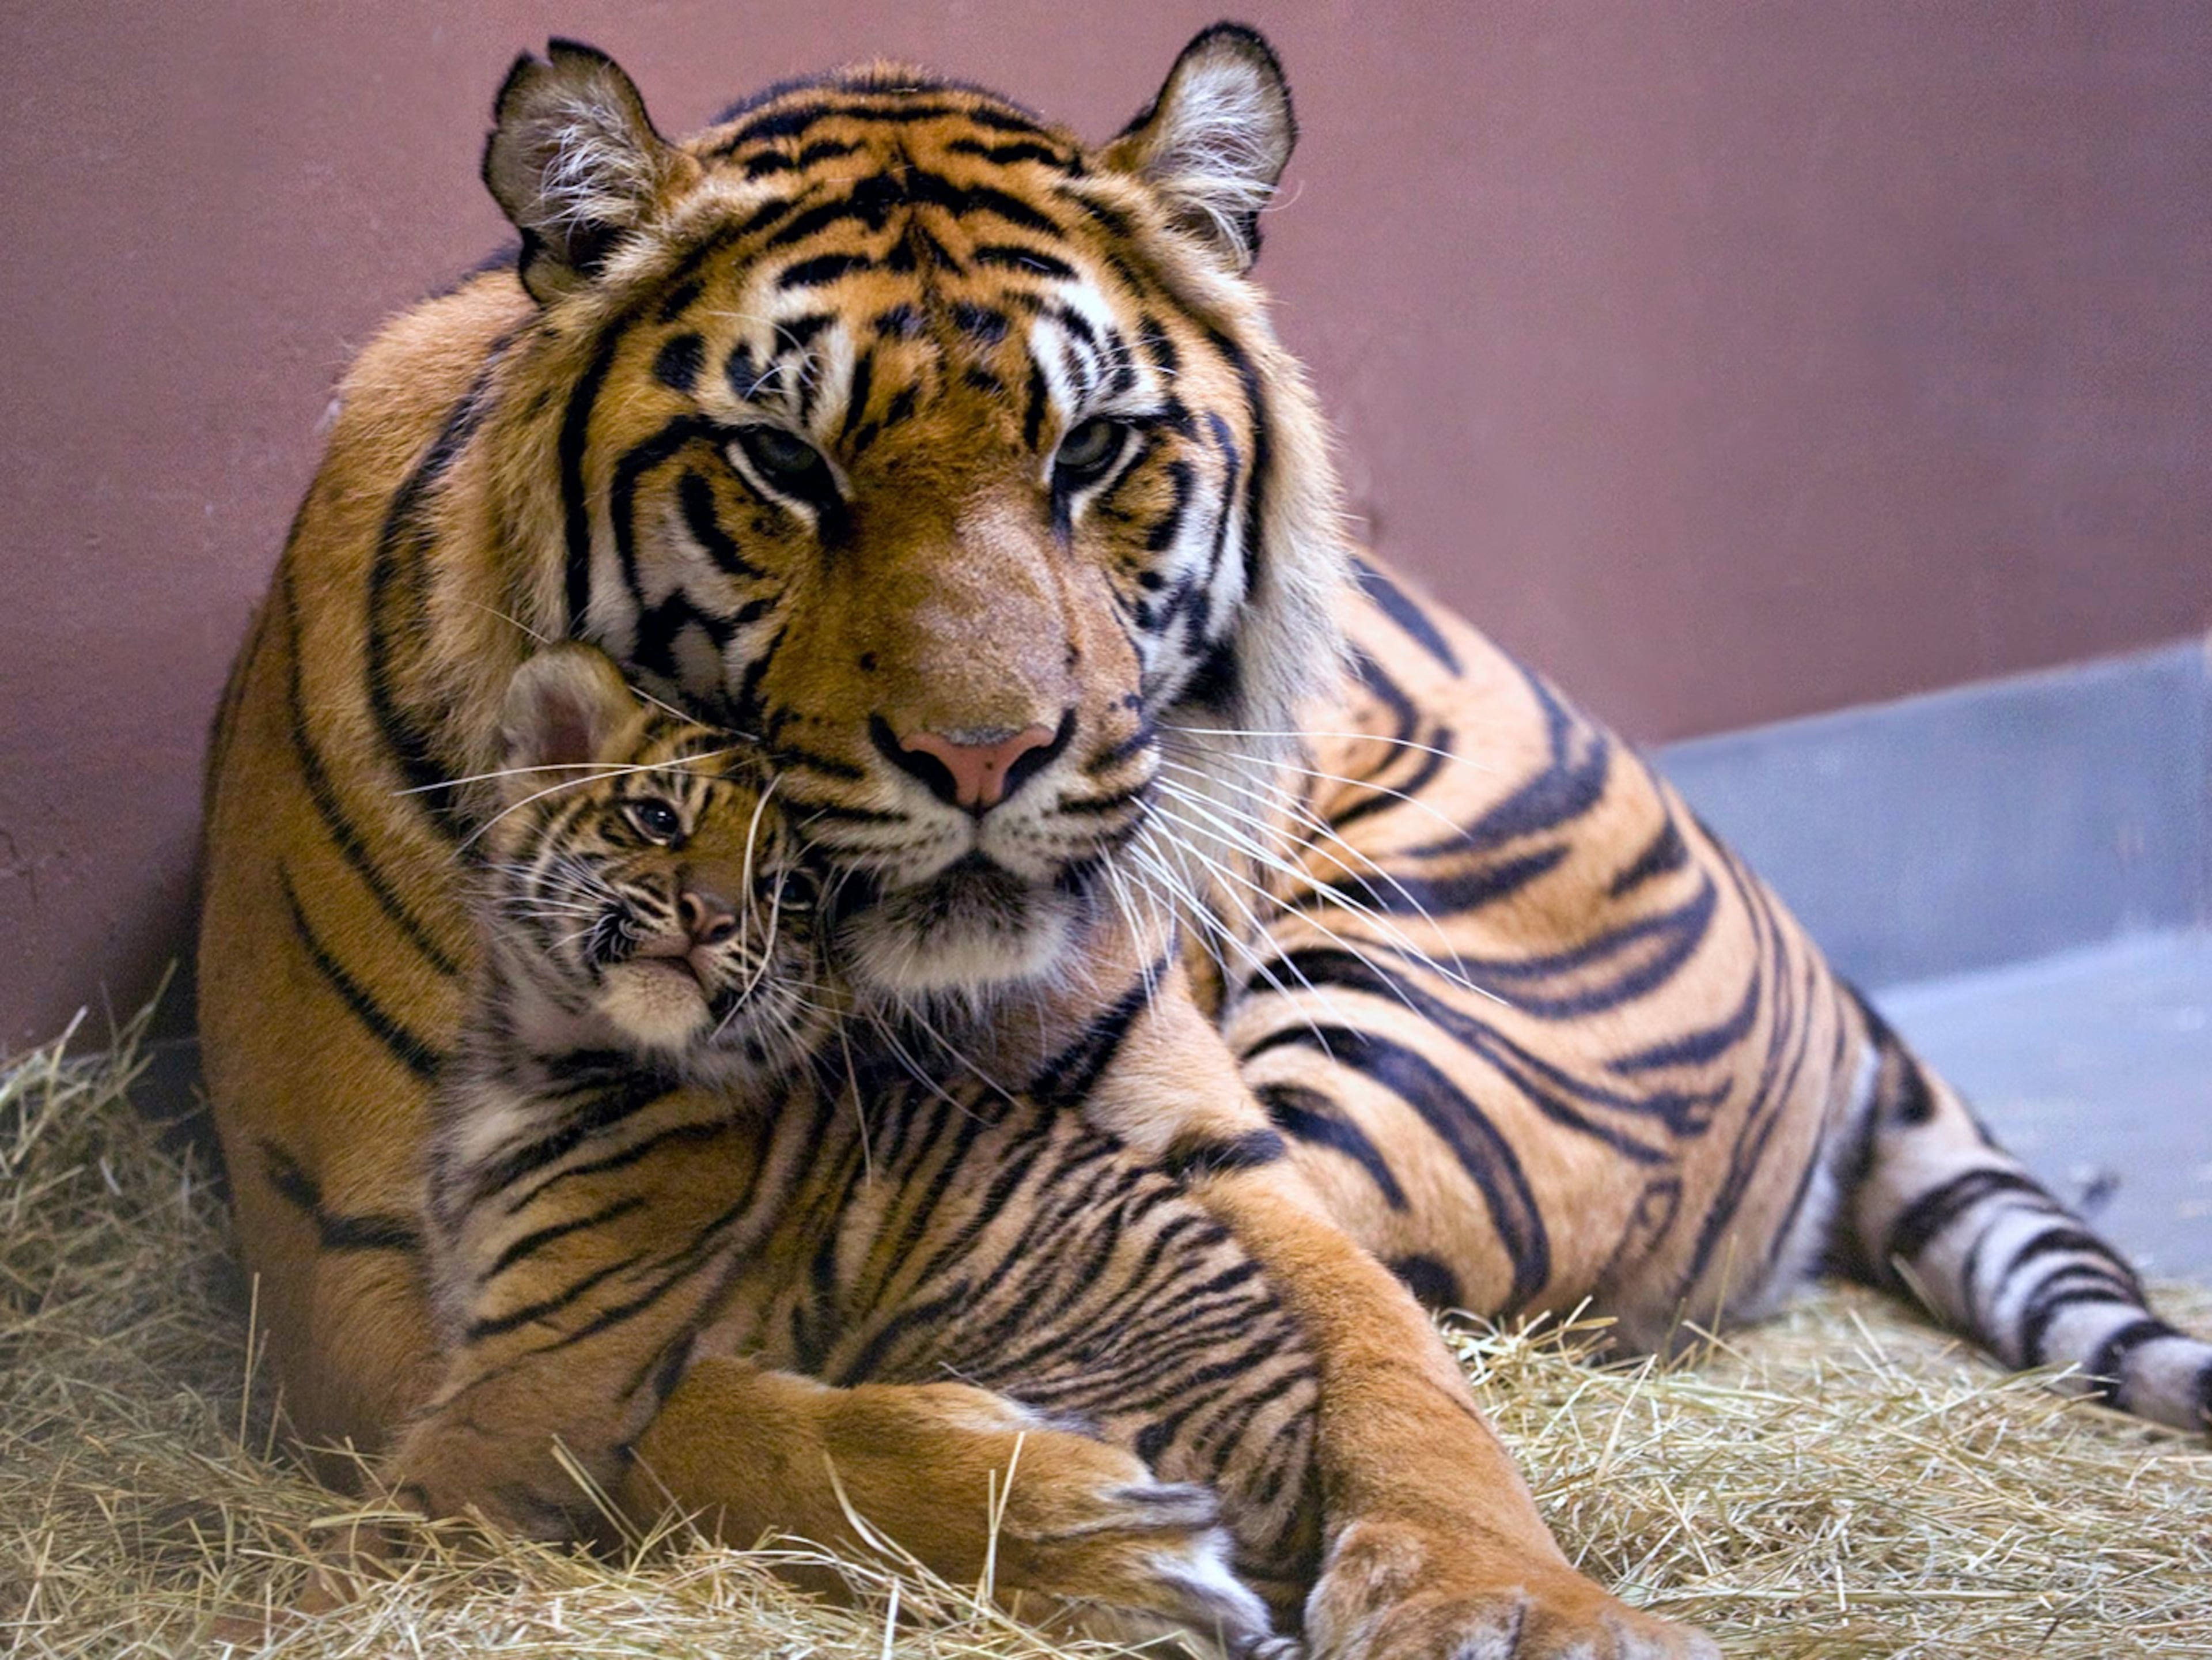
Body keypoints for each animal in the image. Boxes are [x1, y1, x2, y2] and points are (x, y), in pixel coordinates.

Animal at [396, 640, 1321, 1648]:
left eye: (789, 889)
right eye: (656, 819)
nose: (708, 916)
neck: (537, 1054)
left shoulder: (541, 1365)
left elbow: (417, 1497)